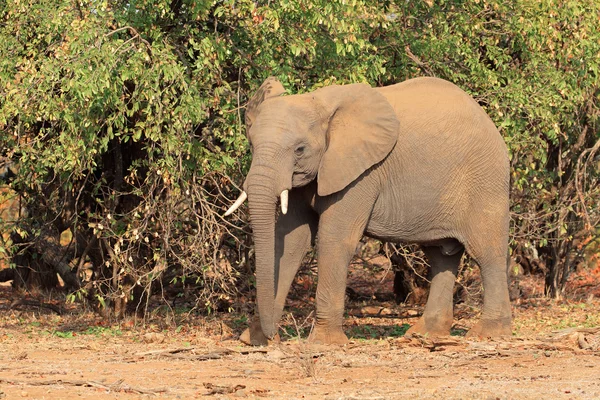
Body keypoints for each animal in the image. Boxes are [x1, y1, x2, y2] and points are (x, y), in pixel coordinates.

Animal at [225, 76, 510, 346]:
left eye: (299, 149)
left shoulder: (361, 173)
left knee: (487, 252)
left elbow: (334, 239)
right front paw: (253, 340)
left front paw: (323, 343)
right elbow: (290, 241)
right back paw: (424, 334)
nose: (274, 336)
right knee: (441, 255)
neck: (319, 104)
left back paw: (486, 333)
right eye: (252, 145)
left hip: (486, 181)